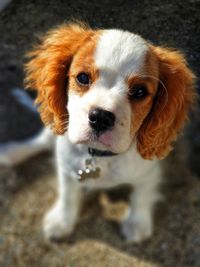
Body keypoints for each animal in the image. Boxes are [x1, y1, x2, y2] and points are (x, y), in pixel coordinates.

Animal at [0, 22, 196, 243]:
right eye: (83, 78)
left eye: (139, 92)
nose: (101, 117)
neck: (99, 155)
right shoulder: (67, 167)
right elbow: (68, 196)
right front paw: (62, 221)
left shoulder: (149, 172)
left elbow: (142, 195)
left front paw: (137, 223)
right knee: (41, 141)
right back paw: (12, 152)